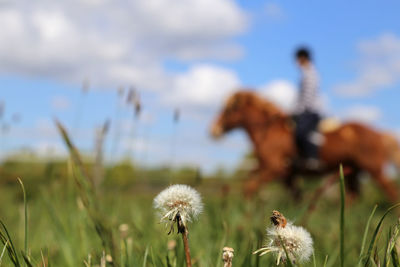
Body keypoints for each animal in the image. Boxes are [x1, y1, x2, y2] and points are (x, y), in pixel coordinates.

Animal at [209, 91, 400, 202]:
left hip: (374, 170)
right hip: (352, 171)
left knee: (391, 192)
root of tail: (379, 133)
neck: (270, 131)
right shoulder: (284, 173)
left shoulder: (274, 169)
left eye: (229, 109)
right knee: (354, 197)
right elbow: (295, 197)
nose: (213, 130)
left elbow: (249, 188)